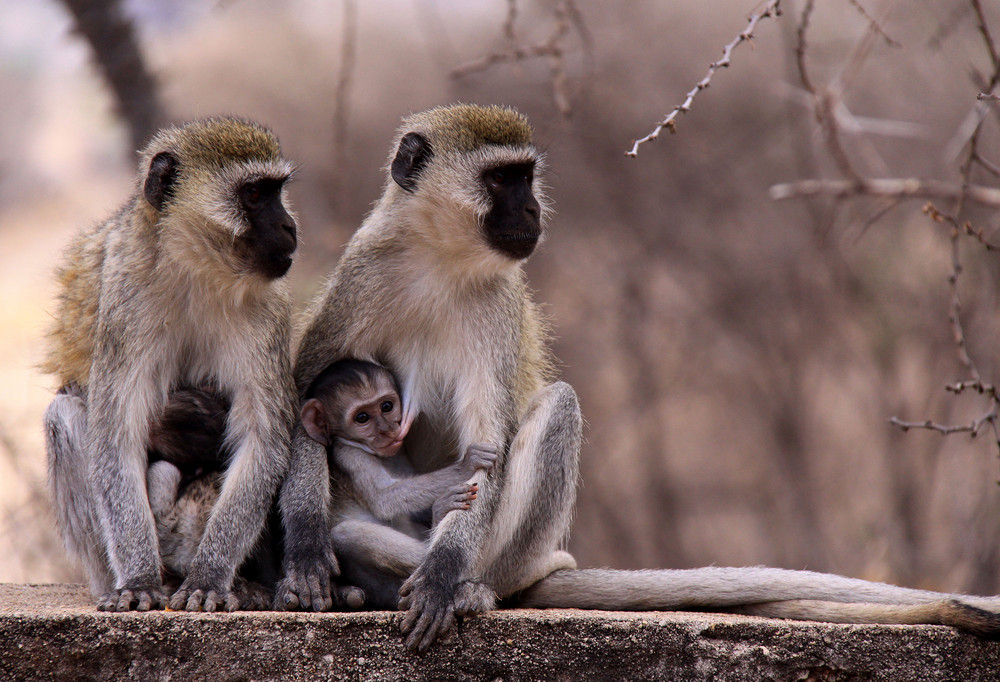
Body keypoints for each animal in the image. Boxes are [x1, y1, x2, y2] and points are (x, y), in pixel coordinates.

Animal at [42, 115, 296, 612]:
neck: (195, 273)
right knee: (63, 414)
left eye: (278, 190)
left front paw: (210, 575)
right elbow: (116, 439)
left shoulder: (268, 310)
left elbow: (261, 442)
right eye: (255, 194)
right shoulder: (125, 301)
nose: (290, 225)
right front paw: (140, 579)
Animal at [278, 102, 1000, 648]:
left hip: (505, 548)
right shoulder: (363, 274)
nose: (534, 212)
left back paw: (477, 585)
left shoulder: (497, 308)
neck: (440, 259)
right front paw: (305, 550)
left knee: (556, 409)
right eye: (503, 180)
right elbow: (306, 402)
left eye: (525, 177)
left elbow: (489, 444)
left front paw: (442, 574)